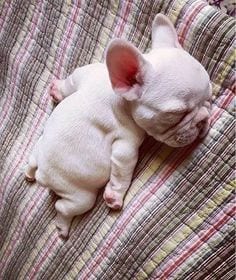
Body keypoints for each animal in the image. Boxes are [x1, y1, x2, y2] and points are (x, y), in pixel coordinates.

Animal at [25, 13, 212, 236]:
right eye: (176, 114)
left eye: (209, 98)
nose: (203, 119)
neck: (119, 98)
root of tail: (42, 174)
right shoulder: (126, 142)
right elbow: (123, 170)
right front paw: (114, 196)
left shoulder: (85, 74)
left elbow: (69, 83)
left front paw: (57, 89)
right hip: (79, 196)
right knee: (63, 207)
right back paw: (62, 227)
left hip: (38, 148)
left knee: (31, 162)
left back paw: (28, 173)